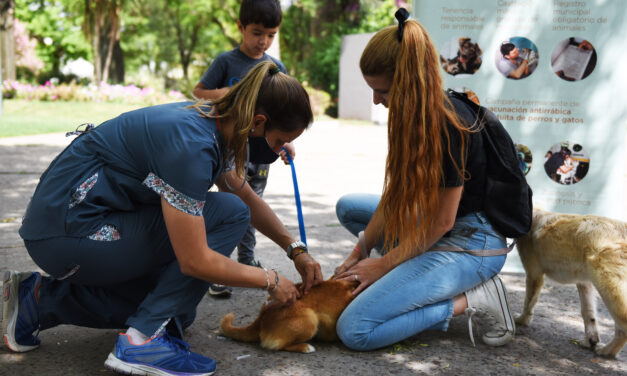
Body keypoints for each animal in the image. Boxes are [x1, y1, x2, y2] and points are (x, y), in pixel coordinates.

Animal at [516, 209, 627, 358]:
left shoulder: (534, 275)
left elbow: (528, 303)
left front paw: (521, 321)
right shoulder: (584, 283)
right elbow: (588, 313)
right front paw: (590, 341)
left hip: (609, 290)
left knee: (622, 329)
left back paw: (607, 351)